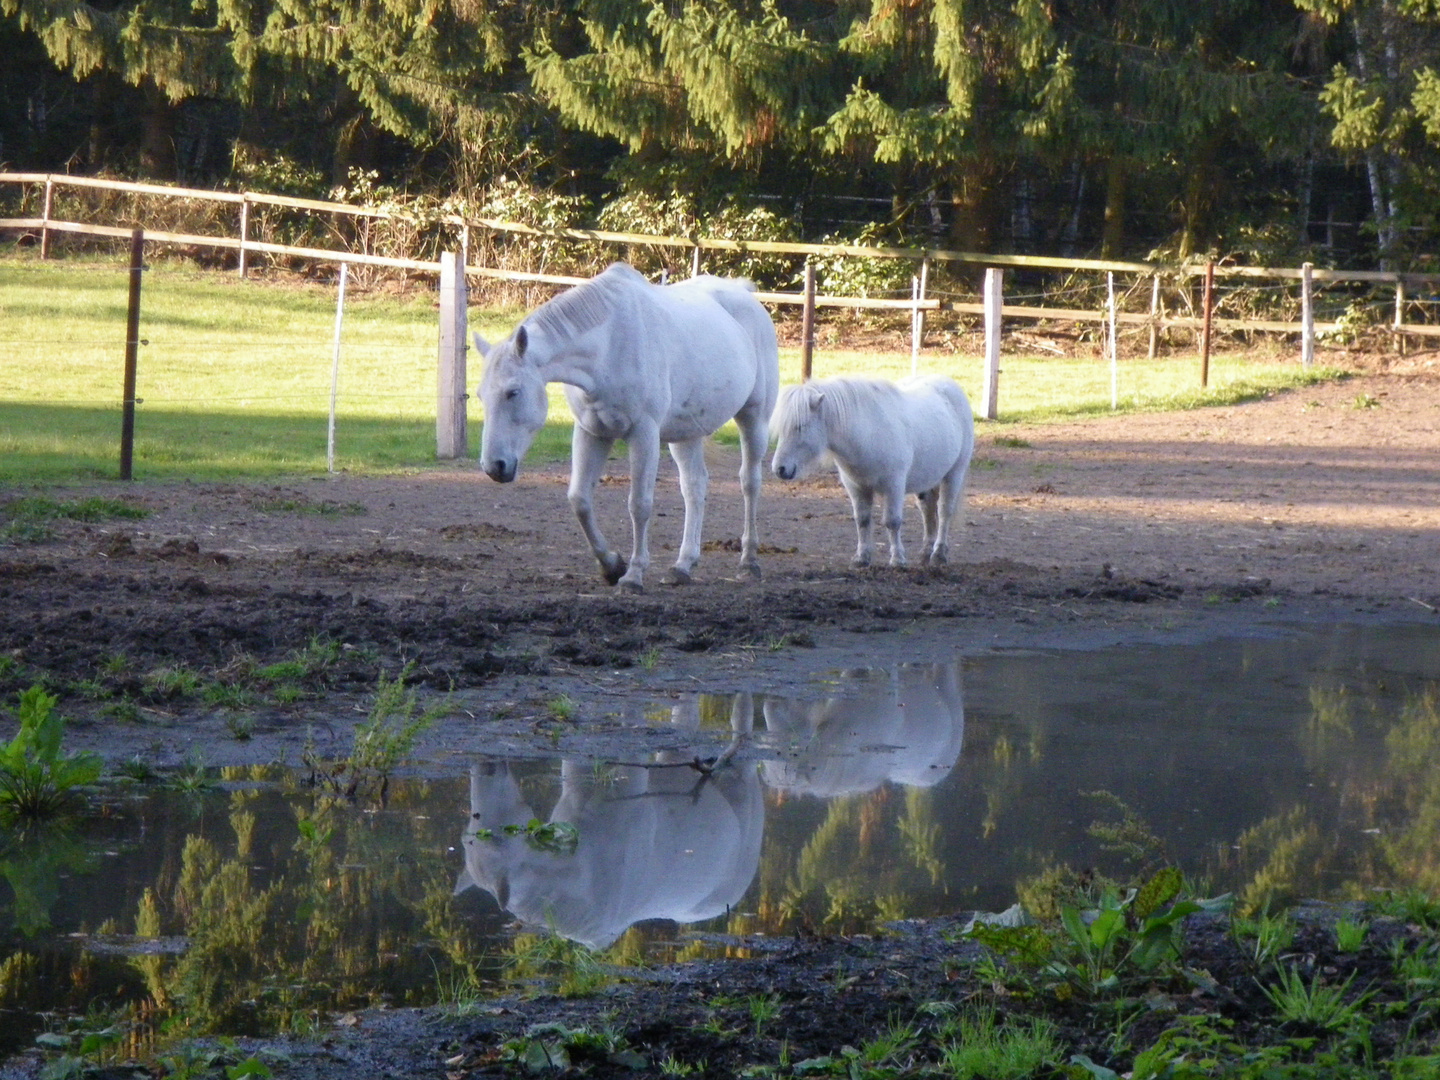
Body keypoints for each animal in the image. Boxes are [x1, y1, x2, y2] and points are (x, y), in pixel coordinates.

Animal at [475, 264, 777, 596]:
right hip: (686, 434)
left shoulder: (643, 433)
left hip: (754, 418)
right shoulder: (592, 432)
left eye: (512, 392)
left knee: (749, 483)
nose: (494, 466)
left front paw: (633, 575)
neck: (608, 345)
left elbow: (639, 504)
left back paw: (748, 562)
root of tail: (744, 294)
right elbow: (579, 499)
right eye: (480, 396)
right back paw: (683, 566)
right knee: (694, 486)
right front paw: (611, 566)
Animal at [771, 377, 973, 570]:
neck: (869, 433)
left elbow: (892, 521)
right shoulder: (856, 487)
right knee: (927, 511)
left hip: (954, 474)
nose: (779, 469)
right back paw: (925, 553)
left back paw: (939, 554)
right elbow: (862, 521)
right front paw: (861, 558)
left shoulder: (894, 486)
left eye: (800, 426)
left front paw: (897, 560)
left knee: (944, 512)